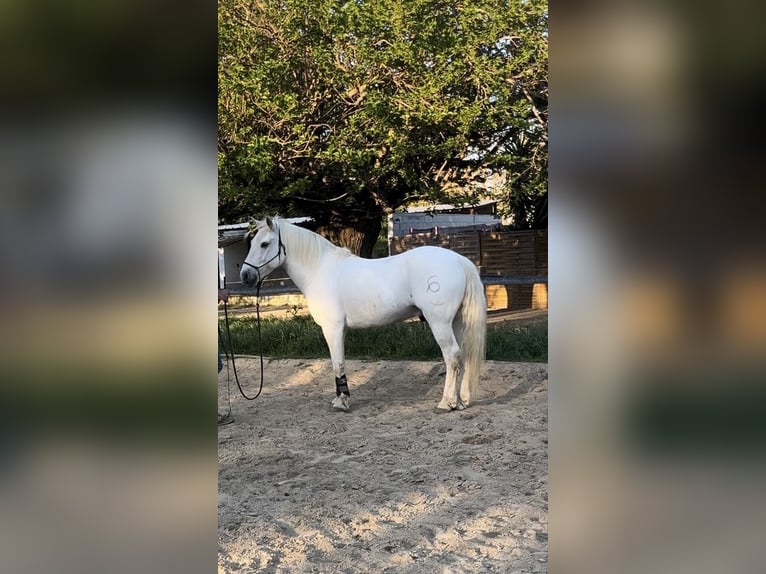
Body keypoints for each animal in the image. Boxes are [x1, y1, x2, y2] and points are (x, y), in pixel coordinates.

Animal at [240, 217, 486, 414]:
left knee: (452, 356)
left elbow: (337, 364)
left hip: (439, 323)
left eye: (264, 243)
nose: (246, 275)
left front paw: (342, 402)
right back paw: (460, 402)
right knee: (462, 356)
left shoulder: (332, 328)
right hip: (456, 322)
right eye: (252, 243)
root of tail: (459, 261)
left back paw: (446, 403)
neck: (320, 271)